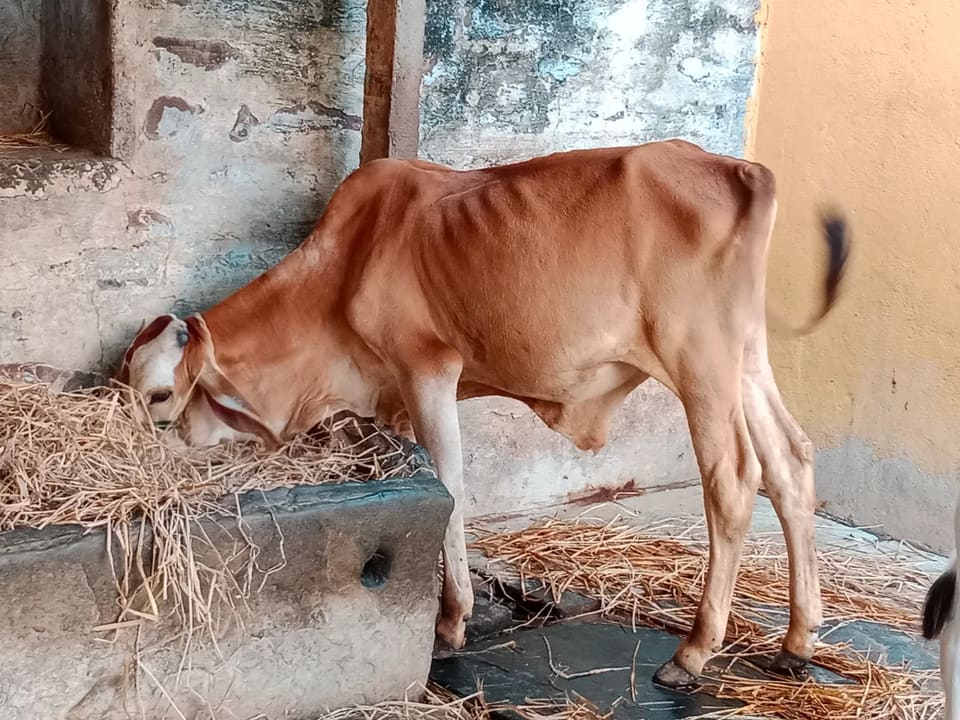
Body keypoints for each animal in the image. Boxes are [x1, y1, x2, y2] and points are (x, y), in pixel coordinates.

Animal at [116, 140, 849, 688]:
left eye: (159, 395)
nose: (150, 449)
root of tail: (739, 168)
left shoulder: (428, 368)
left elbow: (451, 487)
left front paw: (450, 622)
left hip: (698, 361)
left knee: (733, 481)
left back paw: (693, 651)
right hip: (744, 358)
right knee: (790, 463)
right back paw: (797, 641)